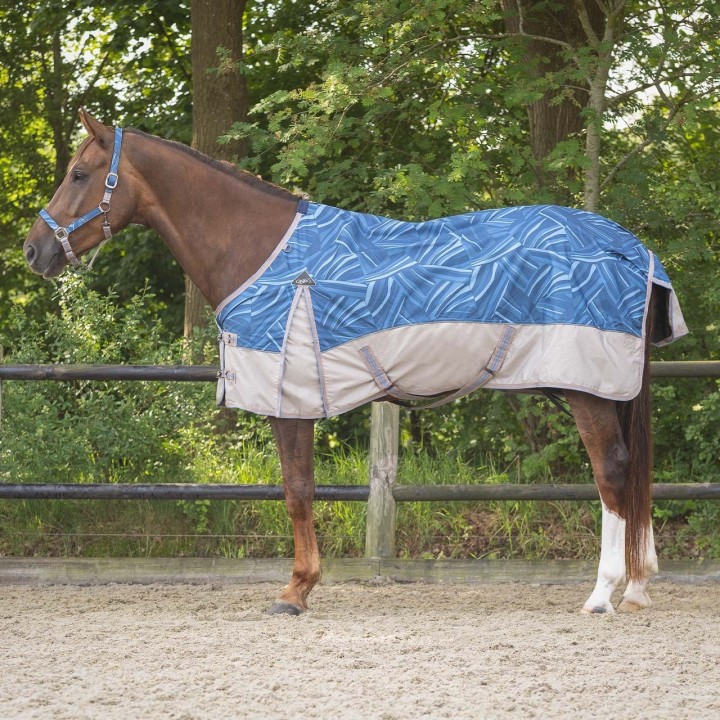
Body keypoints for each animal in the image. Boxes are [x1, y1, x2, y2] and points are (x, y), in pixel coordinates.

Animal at [24, 110, 687, 616]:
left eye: (79, 173)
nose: (34, 250)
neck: (261, 251)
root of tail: (633, 249)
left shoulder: (288, 401)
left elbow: (296, 490)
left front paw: (296, 590)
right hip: (598, 388)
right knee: (630, 473)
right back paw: (637, 587)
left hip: (588, 389)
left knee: (612, 471)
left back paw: (603, 594)